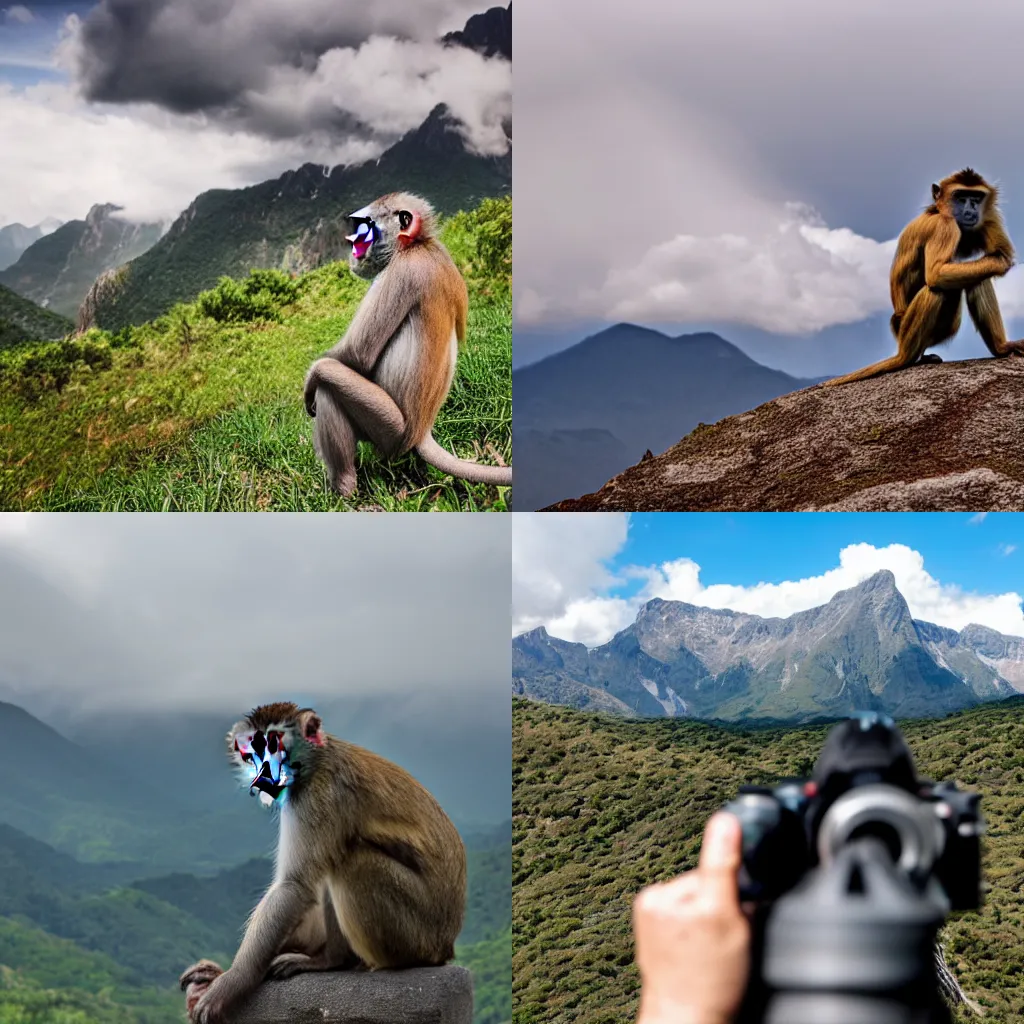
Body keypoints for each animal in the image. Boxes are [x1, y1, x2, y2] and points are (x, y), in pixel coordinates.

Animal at [178, 704, 466, 1024]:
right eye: (252, 748)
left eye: (273, 742)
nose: (265, 769)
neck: (315, 762)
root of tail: (445, 945)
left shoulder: (318, 796)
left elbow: (295, 886)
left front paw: (232, 980)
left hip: (416, 933)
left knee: (352, 863)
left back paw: (333, 961)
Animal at [301, 192, 512, 499]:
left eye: (366, 225)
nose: (352, 245)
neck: (417, 245)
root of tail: (421, 432)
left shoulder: (402, 271)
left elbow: (355, 356)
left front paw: (309, 383)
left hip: (391, 430)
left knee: (328, 382)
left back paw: (344, 487)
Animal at [823, 167, 1024, 387]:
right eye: (960, 197)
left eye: (976, 198)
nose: (970, 209)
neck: (938, 211)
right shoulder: (944, 224)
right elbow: (937, 273)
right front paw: (1003, 262)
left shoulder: (987, 217)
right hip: (904, 329)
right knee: (936, 290)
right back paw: (903, 359)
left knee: (977, 278)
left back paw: (1000, 347)